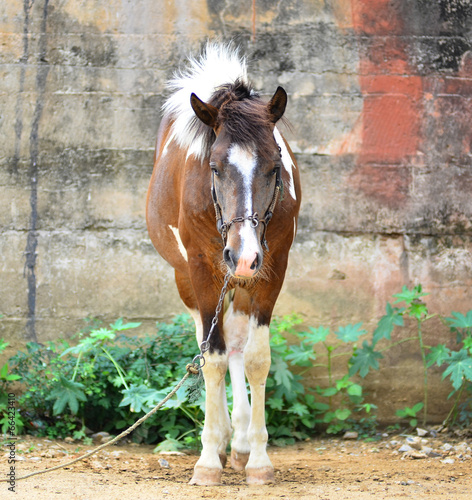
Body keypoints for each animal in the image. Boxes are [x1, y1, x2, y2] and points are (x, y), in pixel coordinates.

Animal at [147, 44, 302, 484]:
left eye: (274, 166)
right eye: (214, 167)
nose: (243, 254)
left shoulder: (271, 270)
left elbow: (255, 358)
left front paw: (259, 459)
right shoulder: (202, 272)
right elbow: (211, 359)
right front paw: (207, 460)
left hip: (242, 282)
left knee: (235, 343)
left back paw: (242, 443)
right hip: (192, 280)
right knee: (207, 344)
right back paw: (219, 441)